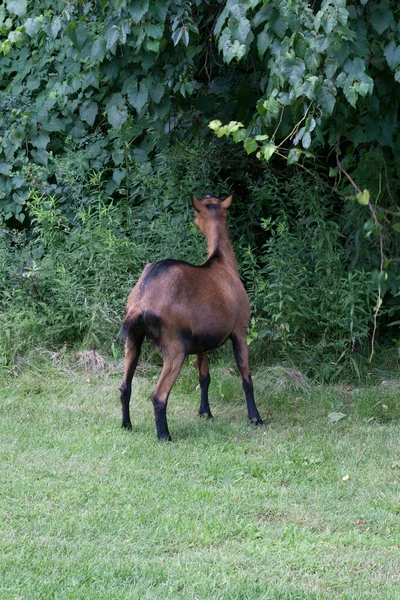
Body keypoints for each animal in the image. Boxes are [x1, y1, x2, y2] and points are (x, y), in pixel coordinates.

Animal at [119, 195, 262, 438]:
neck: (221, 262)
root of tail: (141, 302)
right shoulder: (239, 330)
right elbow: (246, 377)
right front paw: (255, 418)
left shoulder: (202, 342)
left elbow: (204, 377)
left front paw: (205, 413)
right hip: (175, 346)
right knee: (158, 395)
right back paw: (165, 436)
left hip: (133, 340)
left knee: (124, 387)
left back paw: (126, 425)